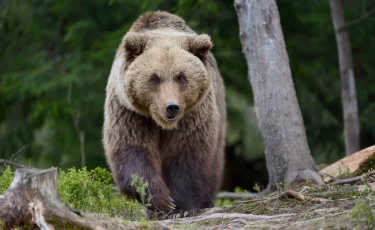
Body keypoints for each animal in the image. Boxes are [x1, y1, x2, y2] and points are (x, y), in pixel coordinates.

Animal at [103, 10, 226, 219]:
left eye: (181, 77)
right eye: (154, 78)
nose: (171, 107)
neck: (160, 123)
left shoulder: (193, 115)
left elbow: (187, 154)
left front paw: (181, 207)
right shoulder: (130, 113)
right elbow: (133, 151)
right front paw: (162, 201)